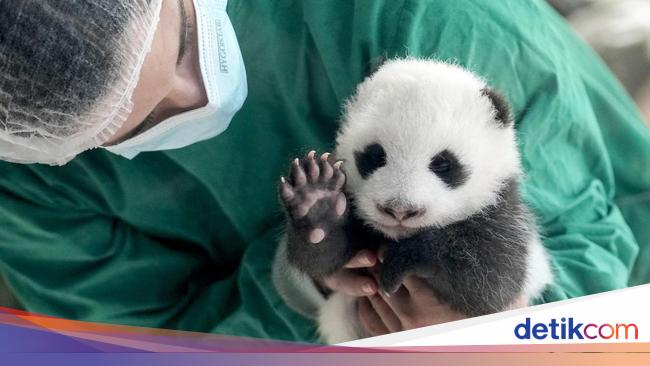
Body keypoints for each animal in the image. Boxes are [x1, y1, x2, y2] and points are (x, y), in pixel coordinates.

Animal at [274, 59, 552, 344]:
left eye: (443, 164)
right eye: (375, 156)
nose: (399, 210)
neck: (398, 236)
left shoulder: (504, 212)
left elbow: (491, 281)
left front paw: (407, 257)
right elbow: (325, 259)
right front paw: (318, 205)